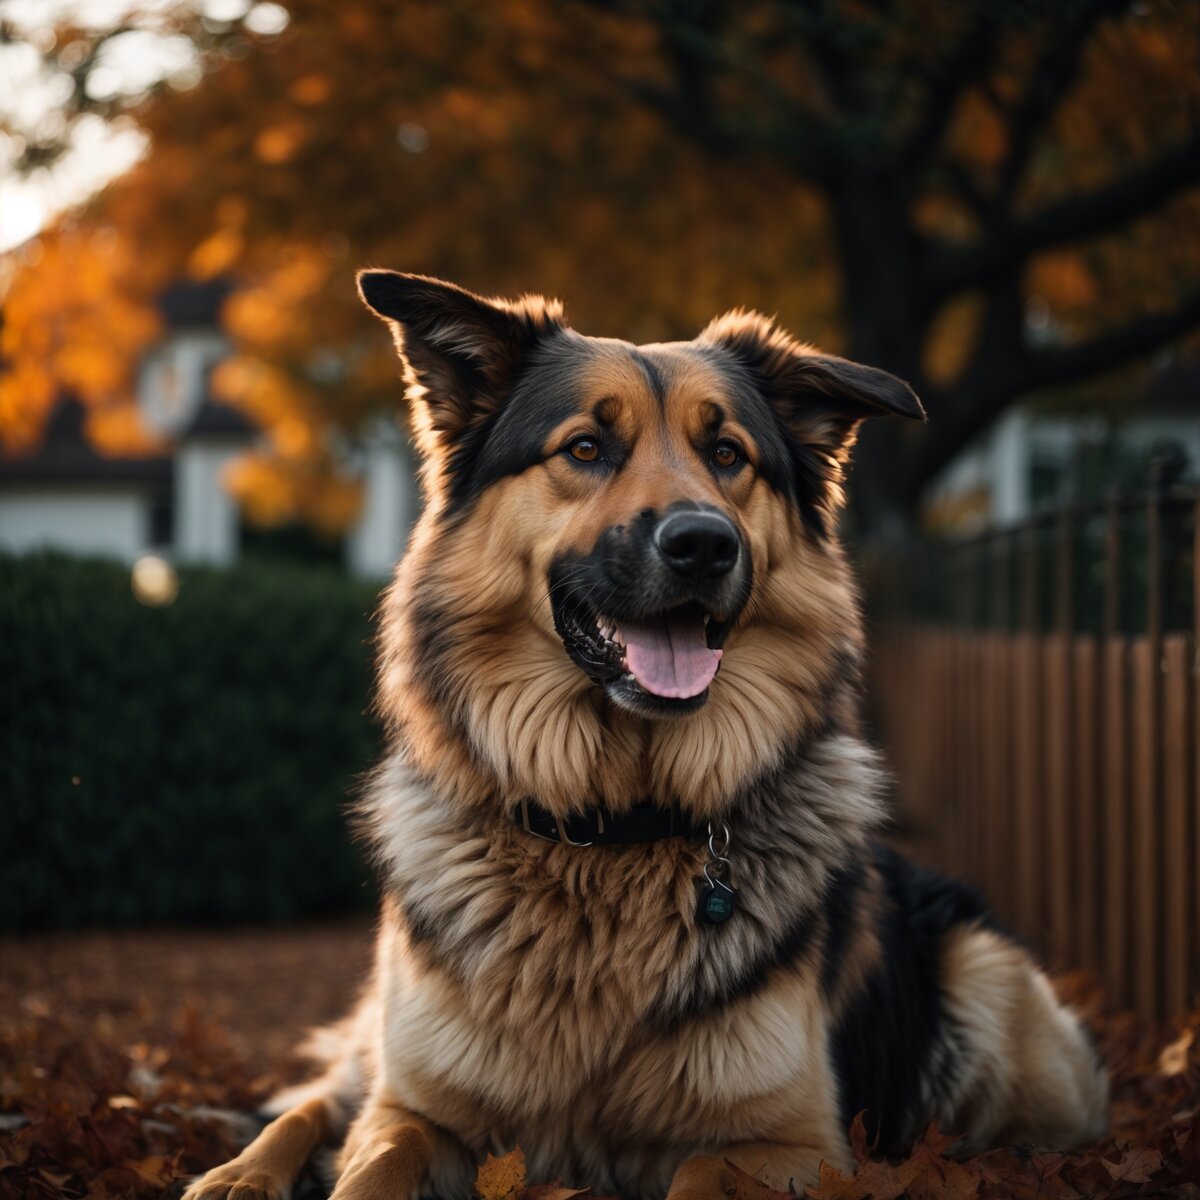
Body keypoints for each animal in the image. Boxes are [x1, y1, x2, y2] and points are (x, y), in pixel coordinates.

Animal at [182, 272, 1108, 1200]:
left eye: (728, 455)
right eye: (587, 447)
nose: (704, 544)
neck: (610, 827)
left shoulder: (793, 1145)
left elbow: (698, 1171)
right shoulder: (412, 1111)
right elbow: (372, 1160)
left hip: (986, 979)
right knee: (318, 1101)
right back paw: (241, 1173)